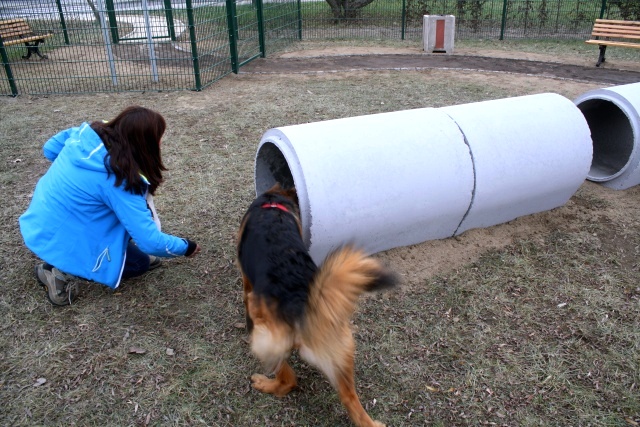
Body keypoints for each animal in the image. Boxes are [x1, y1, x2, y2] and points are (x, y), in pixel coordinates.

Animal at [236, 183, 396, 427]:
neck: (274, 204)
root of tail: (303, 303)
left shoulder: (247, 281)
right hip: (340, 348)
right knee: (350, 398)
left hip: (268, 336)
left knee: (288, 380)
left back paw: (265, 384)